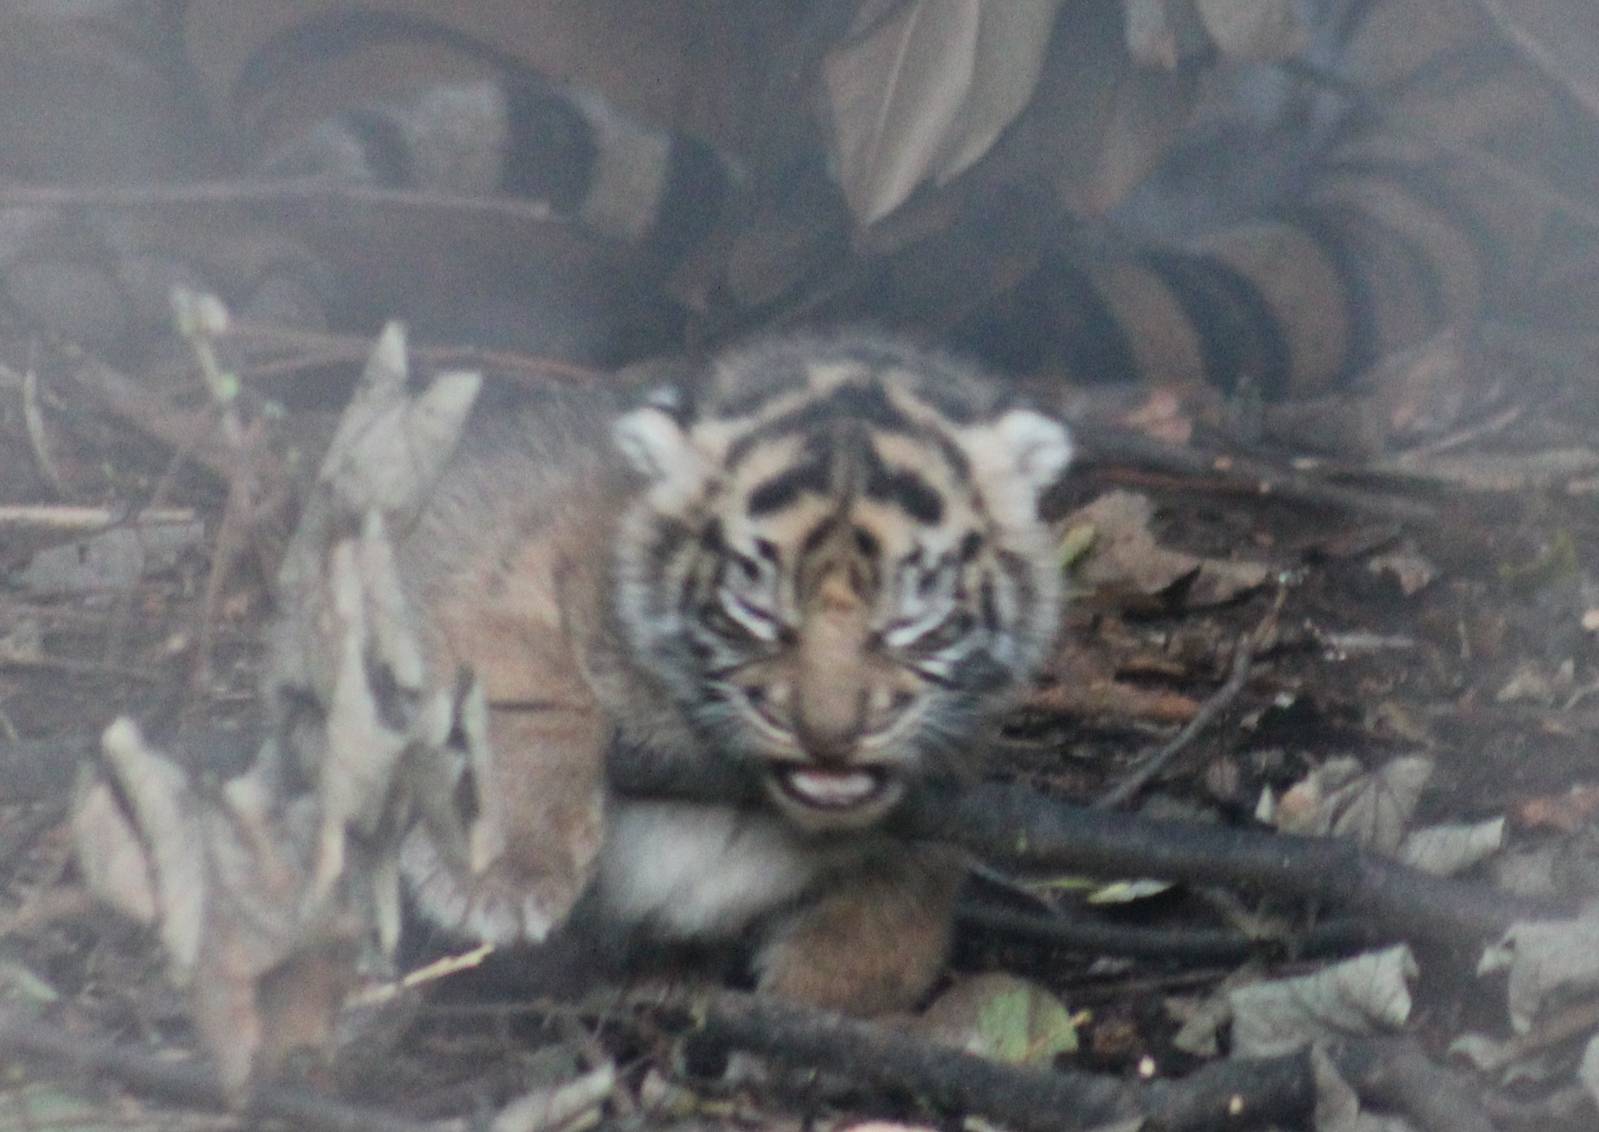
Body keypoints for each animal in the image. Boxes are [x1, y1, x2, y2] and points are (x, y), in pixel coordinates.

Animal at [352, 329, 1074, 1014]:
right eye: (756, 607)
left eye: (910, 614)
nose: (829, 737)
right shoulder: (504, 568)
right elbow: (521, 694)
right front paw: (499, 876)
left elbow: (885, 933)